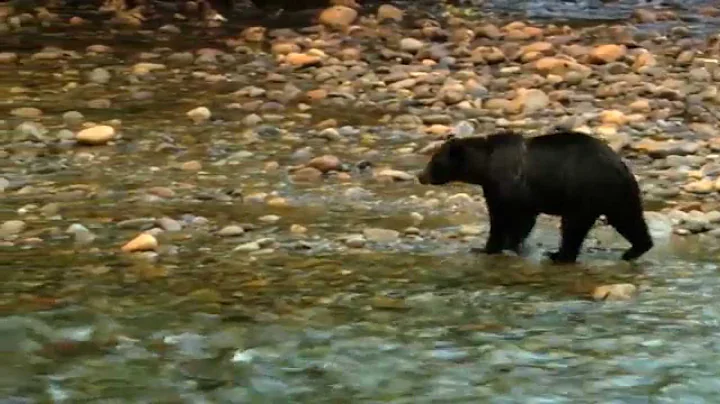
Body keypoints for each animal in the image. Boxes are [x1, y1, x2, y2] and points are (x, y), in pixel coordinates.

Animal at [417, 129, 654, 264]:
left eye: (434, 160)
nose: (420, 175)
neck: (484, 166)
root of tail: (618, 165)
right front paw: (512, 246)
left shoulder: (508, 184)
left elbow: (504, 216)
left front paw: (487, 247)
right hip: (619, 194)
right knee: (629, 219)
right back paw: (634, 250)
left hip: (582, 193)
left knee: (573, 226)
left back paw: (559, 256)